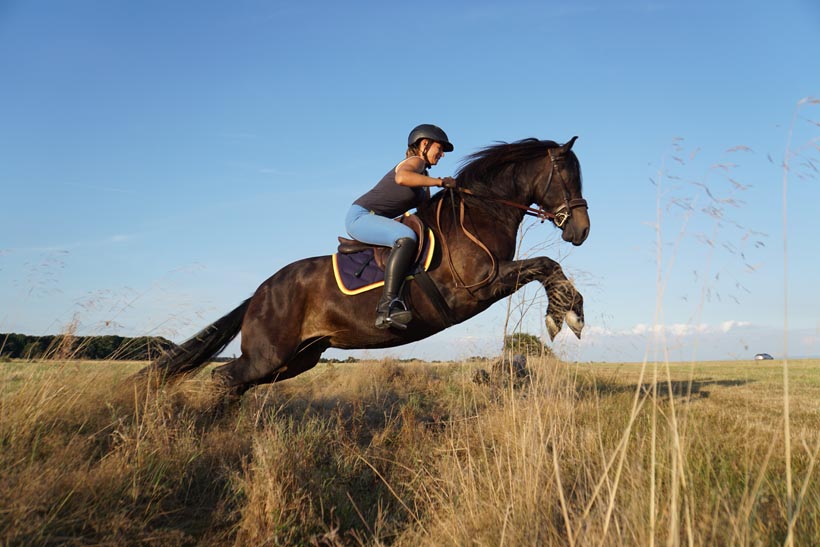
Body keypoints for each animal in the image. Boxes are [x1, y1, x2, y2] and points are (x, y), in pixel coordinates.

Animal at [141, 137, 588, 398]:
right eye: (567, 175)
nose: (581, 230)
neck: (479, 215)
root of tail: (260, 293)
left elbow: (548, 268)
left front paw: (571, 313)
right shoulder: (479, 286)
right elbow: (545, 265)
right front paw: (563, 316)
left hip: (296, 359)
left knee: (234, 384)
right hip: (269, 356)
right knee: (223, 379)